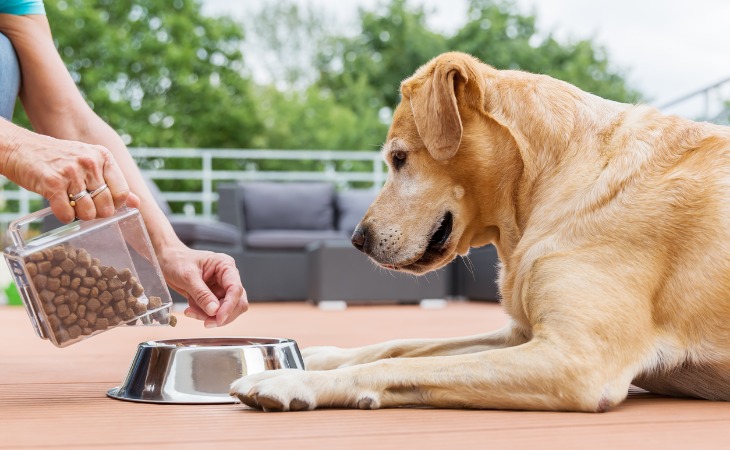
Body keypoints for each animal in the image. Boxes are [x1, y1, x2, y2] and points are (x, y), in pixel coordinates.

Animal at [230, 51, 728, 412]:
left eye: (399, 158)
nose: (357, 240)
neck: (550, 180)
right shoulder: (520, 335)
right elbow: (400, 346)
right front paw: (317, 356)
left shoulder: (576, 359)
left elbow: (397, 366)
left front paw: (292, 378)